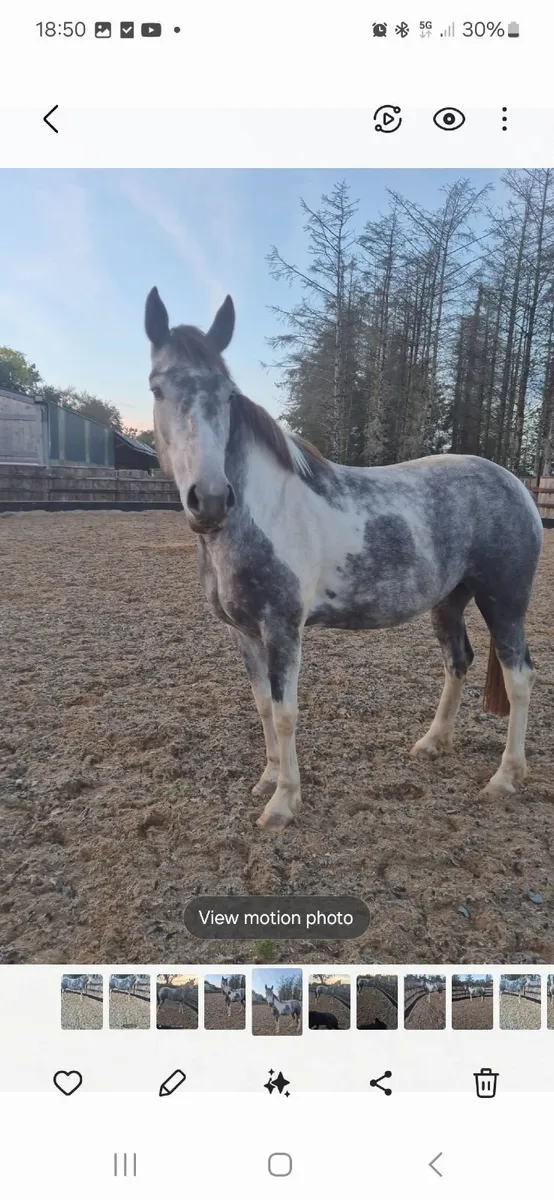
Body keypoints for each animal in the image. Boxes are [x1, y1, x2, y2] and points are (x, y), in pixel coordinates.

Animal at [145, 289, 543, 832]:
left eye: (227, 394)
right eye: (157, 389)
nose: (208, 499)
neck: (262, 511)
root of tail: (517, 486)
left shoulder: (282, 629)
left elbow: (285, 712)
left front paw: (283, 802)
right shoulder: (243, 633)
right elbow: (262, 707)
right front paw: (268, 779)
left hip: (503, 601)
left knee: (519, 676)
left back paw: (505, 777)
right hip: (449, 602)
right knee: (458, 662)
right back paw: (432, 743)